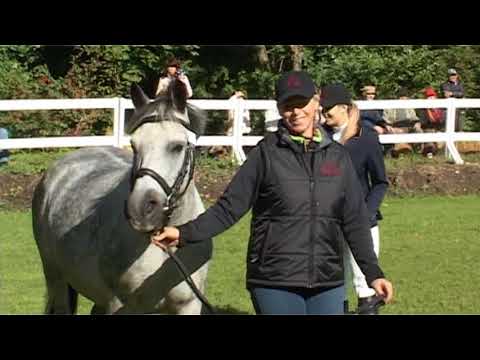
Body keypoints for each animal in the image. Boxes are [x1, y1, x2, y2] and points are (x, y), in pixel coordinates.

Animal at [32, 80, 213, 314]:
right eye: (134, 145)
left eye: (177, 147)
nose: (141, 210)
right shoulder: (121, 305)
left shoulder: (188, 305)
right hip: (56, 278)